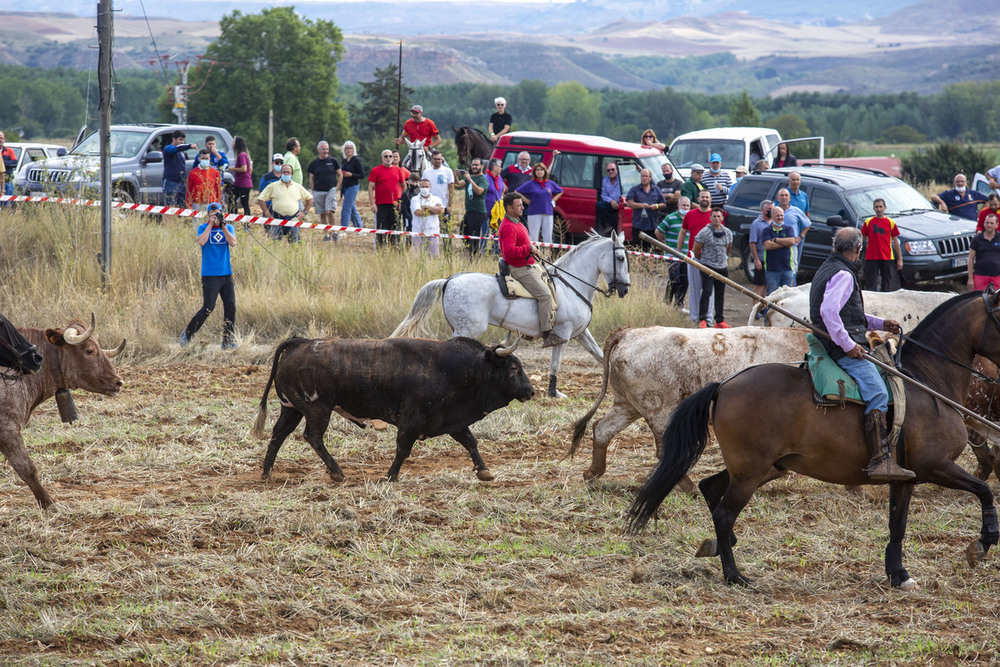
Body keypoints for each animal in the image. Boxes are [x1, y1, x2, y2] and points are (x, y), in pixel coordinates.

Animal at [250, 336, 536, 482]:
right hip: (318, 409)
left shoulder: (450, 419)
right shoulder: (412, 418)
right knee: (313, 437)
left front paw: (483, 470)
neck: (454, 367)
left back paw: (266, 472)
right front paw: (390, 475)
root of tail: (301, 342)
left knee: (278, 434)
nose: (531, 391)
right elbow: (403, 448)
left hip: (292, 408)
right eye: (513, 367)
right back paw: (337, 472)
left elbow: (470, 442)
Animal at [394, 232, 628, 400]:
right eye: (620, 258)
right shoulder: (563, 333)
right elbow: (555, 363)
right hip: (467, 329)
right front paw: (554, 394)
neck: (570, 285)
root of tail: (448, 281)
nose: (625, 289)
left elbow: (600, 356)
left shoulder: (581, 333)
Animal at [628, 292, 1000, 588]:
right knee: (723, 513)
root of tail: (724, 385)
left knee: (710, 488)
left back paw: (722, 546)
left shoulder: (905, 478)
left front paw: (898, 574)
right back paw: (734, 574)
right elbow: (984, 491)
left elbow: (898, 525)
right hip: (751, 472)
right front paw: (983, 542)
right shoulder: (936, 466)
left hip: (762, 468)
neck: (927, 382)